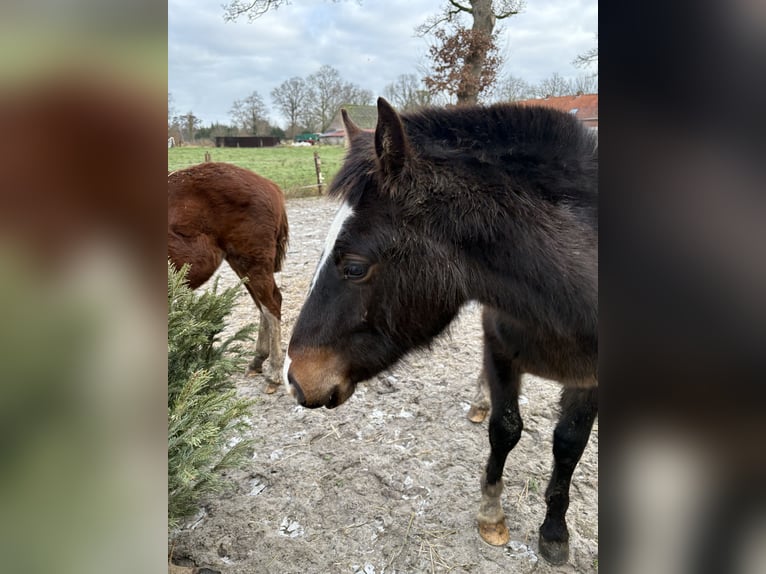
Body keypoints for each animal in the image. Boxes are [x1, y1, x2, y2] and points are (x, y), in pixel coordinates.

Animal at [167, 162, 288, 392]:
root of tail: (271, 186)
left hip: (253, 262)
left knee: (272, 305)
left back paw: (274, 373)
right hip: (240, 263)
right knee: (263, 305)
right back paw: (258, 360)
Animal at [284, 99, 600, 568]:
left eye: (355, 267)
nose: (295, 378)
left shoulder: (590, 380)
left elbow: (568, 445)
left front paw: (554, 532)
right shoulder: (500, 349)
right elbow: (506, 428)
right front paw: (492, 515)